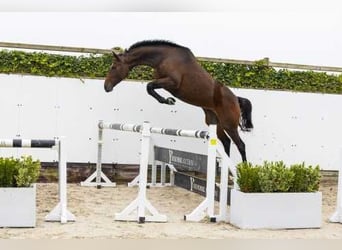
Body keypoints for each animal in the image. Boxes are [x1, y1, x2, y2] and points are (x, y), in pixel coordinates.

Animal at [105, 40, 254, 162]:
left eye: (113, 67)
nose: (106, 87)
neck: (163, 57)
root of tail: (236, 99)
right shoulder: (163, 82)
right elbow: (150, 87)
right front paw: (168, 100)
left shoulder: (172, 82)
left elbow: (149, 86)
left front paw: (168, 101)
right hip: (214, 122)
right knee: (226, 142)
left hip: (229, 124)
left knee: (240, 145)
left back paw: (242, 169)